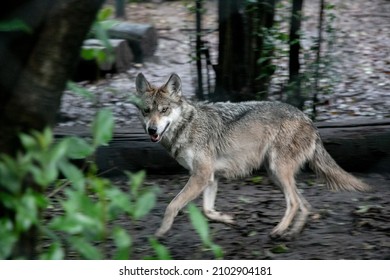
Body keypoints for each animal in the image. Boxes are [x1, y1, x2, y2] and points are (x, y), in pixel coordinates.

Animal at [133, 72, 368, 238]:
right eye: (147, 111)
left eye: (164, 110)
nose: (152, 130)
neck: (188, 126)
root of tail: (309, 120)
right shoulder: (210, 178)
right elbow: (208, 210)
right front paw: (227, 219)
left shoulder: (201, 176)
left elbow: (172, 205)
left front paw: (161, 232)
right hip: (276, 174)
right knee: (305, 204)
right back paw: (291, 233)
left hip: (278, 172)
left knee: (294, 203)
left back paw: (278, 231)